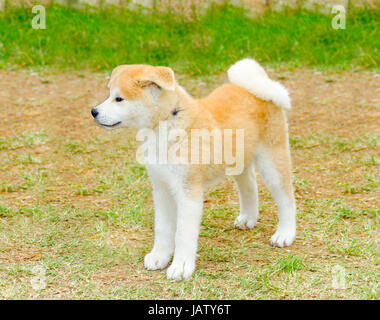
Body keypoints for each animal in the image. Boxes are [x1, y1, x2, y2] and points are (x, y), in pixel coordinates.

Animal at [93, 58, 296, 280]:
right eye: (109, 94)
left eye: (119, 99)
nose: (94, 112)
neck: (166, 123)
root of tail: (261, 87)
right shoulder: (161, 188)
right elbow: (162, 228)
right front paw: (159, 256)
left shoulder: (188, 192)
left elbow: (183, 234)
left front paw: (181, 267)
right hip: (238, 162)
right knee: (249, 187)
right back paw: (248, 218)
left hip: (272, 162)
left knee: (287, 199)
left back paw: (285, 234)